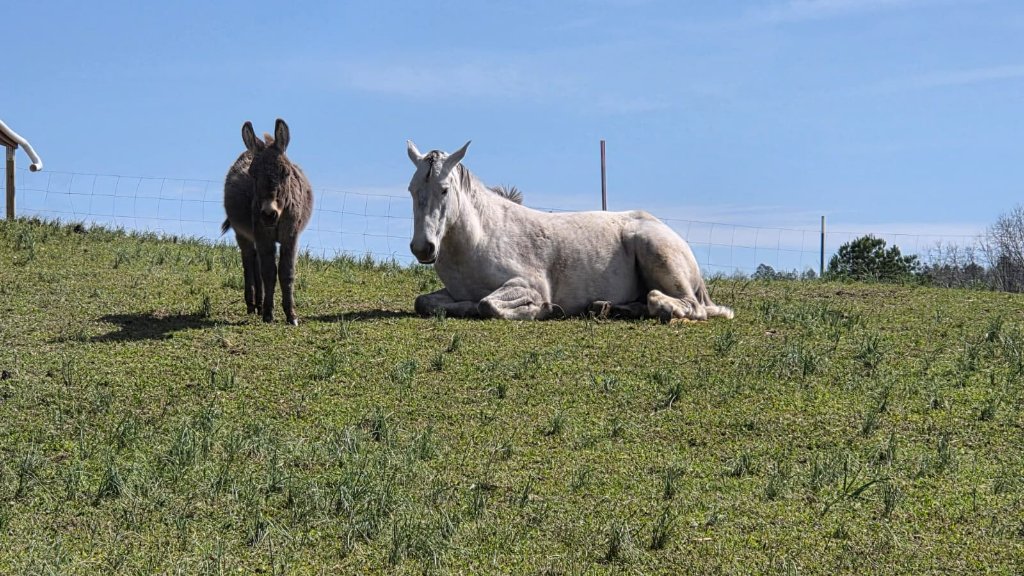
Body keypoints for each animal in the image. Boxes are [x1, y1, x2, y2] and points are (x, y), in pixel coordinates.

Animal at [222, 119, 314, 325]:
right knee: (249, 260)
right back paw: (252, 303)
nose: (269, 214)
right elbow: (269, 272)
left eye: (285, 173)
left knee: (256, 261)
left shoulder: (290, 235)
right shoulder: (263, 235)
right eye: (253, 174)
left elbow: (286, 272)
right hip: (243, 234)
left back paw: (258, 302)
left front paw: (291, 315)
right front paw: (268, 314)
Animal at [405, 141, 734, 322]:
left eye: (444, 190)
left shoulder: (528, 285)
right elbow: (424, 302)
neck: (479, 238)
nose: (423, 248)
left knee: (688, 306)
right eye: (411, 189)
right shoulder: (449, 292)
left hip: (655, 251)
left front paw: (545, 309)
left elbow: (488, 304)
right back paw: (607, 308)